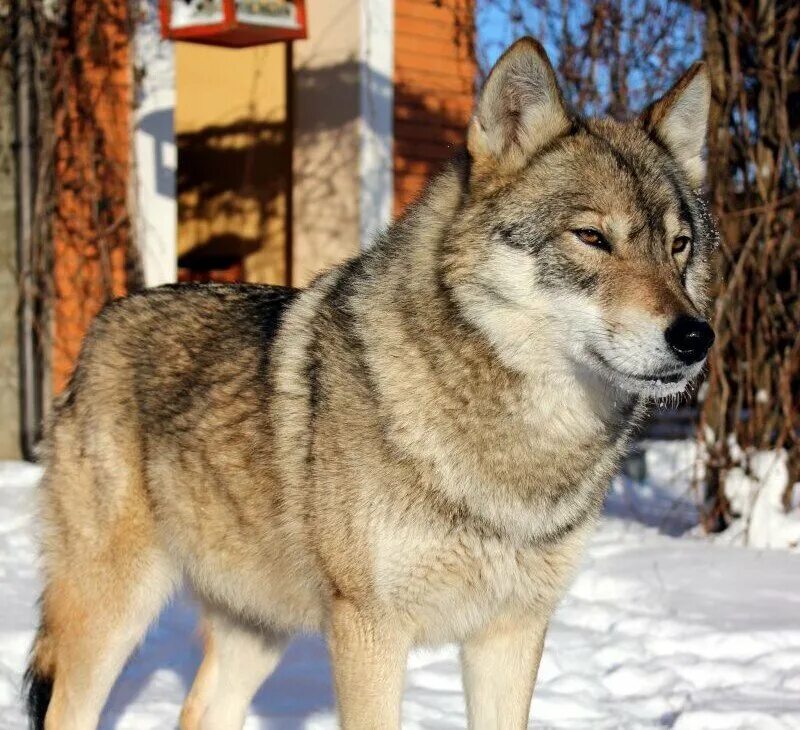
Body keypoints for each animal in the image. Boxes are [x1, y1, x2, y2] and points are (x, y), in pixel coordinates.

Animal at [25, 38, 716, 728]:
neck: (521, 443)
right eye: (592, 237)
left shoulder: (512, 631)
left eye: (680, 246)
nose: (696, 337)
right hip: (113, 611)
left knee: (197, 711)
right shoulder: (370, 628)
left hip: (256, 629)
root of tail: (99, 325)